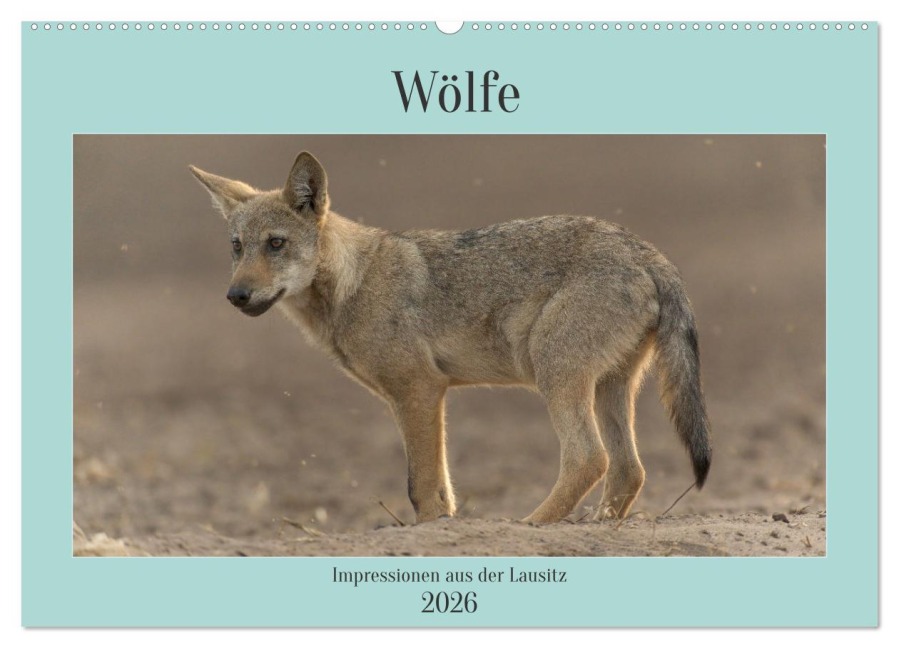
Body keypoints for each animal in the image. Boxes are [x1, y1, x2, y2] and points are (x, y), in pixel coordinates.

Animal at [189, 151, 711, 524]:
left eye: (276, 244)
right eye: (237, 247)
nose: (236, 295)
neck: (354, 283)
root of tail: (648, 252)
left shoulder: (420, 390)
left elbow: (420, 486)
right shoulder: (418, 397)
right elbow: (439, 488)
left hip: (556, 373)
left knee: (589, 459)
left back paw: (529, 526)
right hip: (610, 387)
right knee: (628, 470)